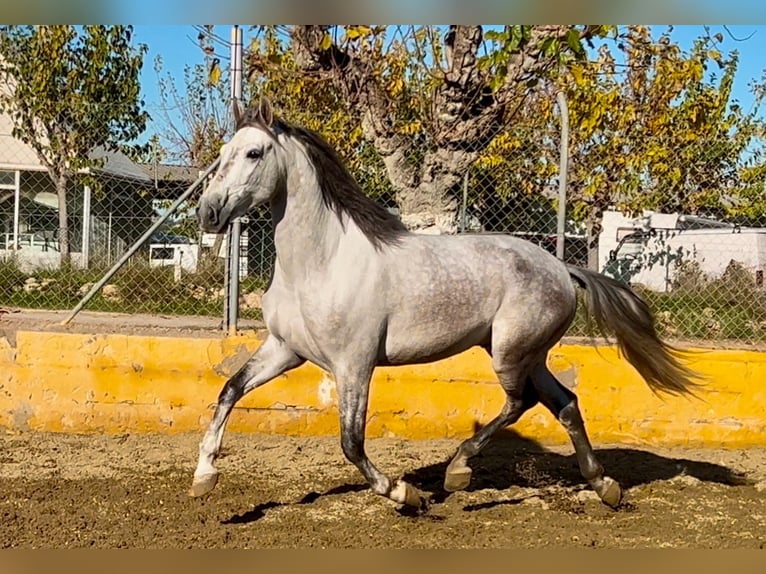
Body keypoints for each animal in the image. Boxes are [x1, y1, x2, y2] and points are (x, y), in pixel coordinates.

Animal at [190, 98, 704, 512]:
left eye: (254, 153)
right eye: (223, 154)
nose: (208, 213)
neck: (321, 263)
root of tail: (562, 268)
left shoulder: (353, 363)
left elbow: (351, 443)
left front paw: (407, 495)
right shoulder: (285, 350)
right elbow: (229, 392)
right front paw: (203, 478)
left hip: (510, 353)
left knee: (521, 402)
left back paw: (459, 471)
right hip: (526, 353)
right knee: (565, 404)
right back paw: (605, 486)